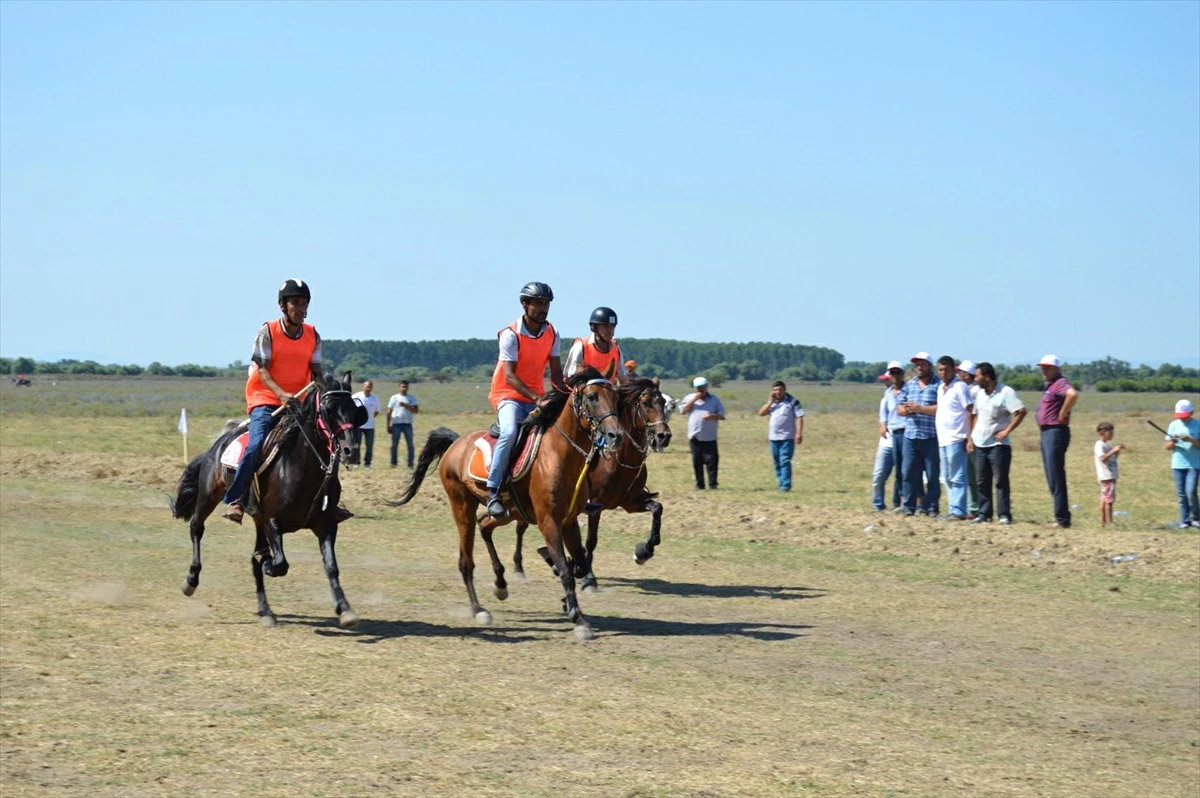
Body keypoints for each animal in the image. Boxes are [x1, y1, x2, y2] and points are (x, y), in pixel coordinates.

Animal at [171, 369, 362, 624]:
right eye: (328, 410)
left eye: (355, 410)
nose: (352, 451)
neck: (301, 467)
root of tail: (217, 445)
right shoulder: (272, 521)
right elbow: (280, 564)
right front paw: (270, 564)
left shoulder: (326, 524)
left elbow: (331, 566)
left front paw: (345, 608)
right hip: (209, 497)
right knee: (196, 528)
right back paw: (191, 580)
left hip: (257, 520)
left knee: (253, 560)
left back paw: (266, 610)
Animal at [388, 369, 624, 643]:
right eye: (592, 397)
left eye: (616, 397)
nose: (616, 435)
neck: (559, 455)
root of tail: (457, 443)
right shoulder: (549, 521)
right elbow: (566, 569)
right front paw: (578, 619)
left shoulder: (569, 521)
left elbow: (579, 564)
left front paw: (569, 603)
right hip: (462, 507)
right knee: (466, 561)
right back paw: (479, 610)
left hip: (507, 512)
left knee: (485, 525)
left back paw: (500, 584)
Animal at [511, 376, 672, 588]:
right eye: (645, 403)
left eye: (662, 402)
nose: (664, 436)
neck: (620, 459)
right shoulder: (597, 504)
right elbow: (591, 541)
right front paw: (588, 576)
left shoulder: (631, 501)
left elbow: (657, 509)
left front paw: (644, 551)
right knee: (521, 527)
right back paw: (519, 567)